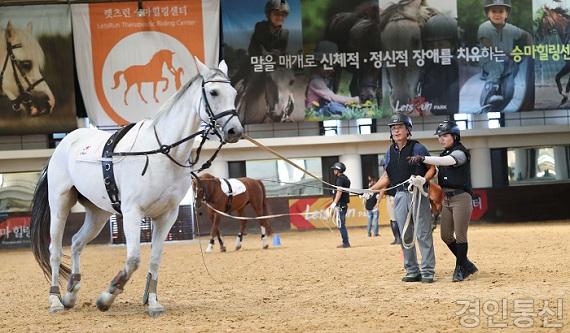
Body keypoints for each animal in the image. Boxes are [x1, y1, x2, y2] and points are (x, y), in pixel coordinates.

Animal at [29, 58, 242, 316]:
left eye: (234, 93)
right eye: (213, 92)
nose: (235, 131)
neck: (163, 152)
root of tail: (66, 142)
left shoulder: (167, 216)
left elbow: (155, 259)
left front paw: (153, 302)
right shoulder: (132, 213)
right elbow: (133, 259)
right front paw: (107, 296)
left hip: (98, 213)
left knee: (77, 242)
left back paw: (71, 293)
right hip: (60, 204)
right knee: (55, 250)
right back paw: (55, 300)